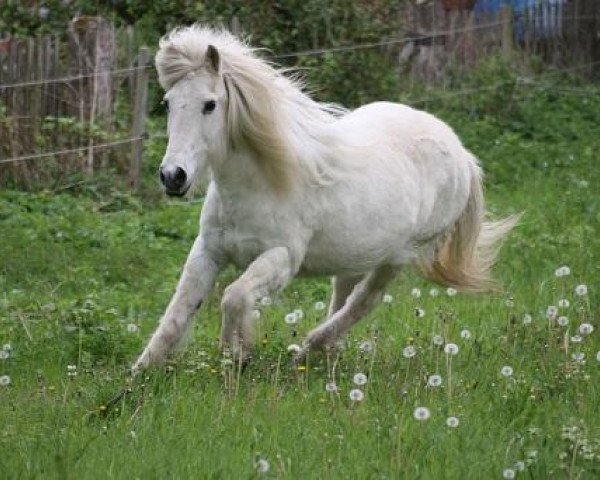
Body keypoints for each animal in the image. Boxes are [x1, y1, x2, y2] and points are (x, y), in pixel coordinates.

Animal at [134, 25, 516, 372]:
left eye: (210, 105)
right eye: (167, 103)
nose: (173, 176)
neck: (262, 183)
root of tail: (460, 151)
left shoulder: (282, 258)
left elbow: (234, 297)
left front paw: (235, 354)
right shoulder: (208, 251)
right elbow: (179, 311)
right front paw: (140, 373)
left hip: (398, 256)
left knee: (364, 301)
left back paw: (309, 346)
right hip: (357, 254)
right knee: (343, 297)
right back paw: (321, 353)